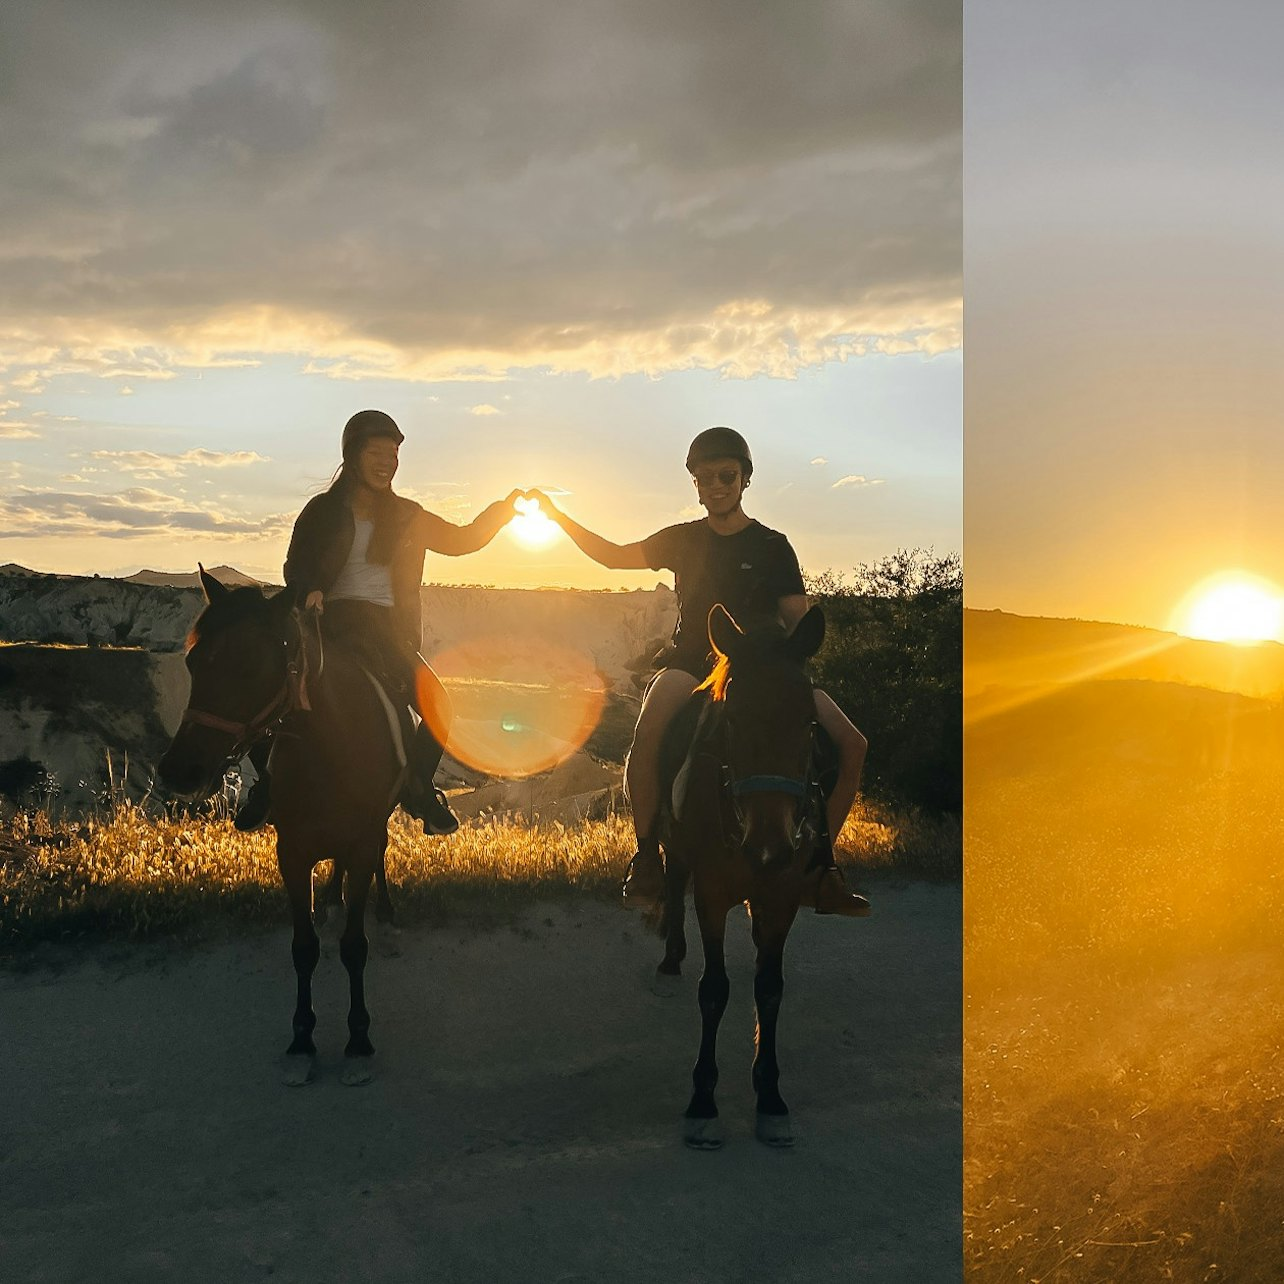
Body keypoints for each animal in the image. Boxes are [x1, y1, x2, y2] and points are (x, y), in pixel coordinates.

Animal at [158, 572, 403, 1083]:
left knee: (381, 853)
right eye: (192, 662)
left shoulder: (362, 839)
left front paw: (358, 1040)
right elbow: (303, 948)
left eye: (251, 665)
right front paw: (302, 1040)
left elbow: (355, 945)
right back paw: (330, 900)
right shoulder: (291, 852)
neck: (330, 746)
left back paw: (386, 912)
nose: (178, 770)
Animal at [657, 603, 826, 1155]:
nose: (770, 847)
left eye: (810, 721)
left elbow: (768, 988)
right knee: (671, 878)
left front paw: (770, 1097)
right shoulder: (711, 895)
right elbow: (714, 990)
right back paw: (669, 958)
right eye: (731, 717)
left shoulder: (782, 897)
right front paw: (703, 1103)